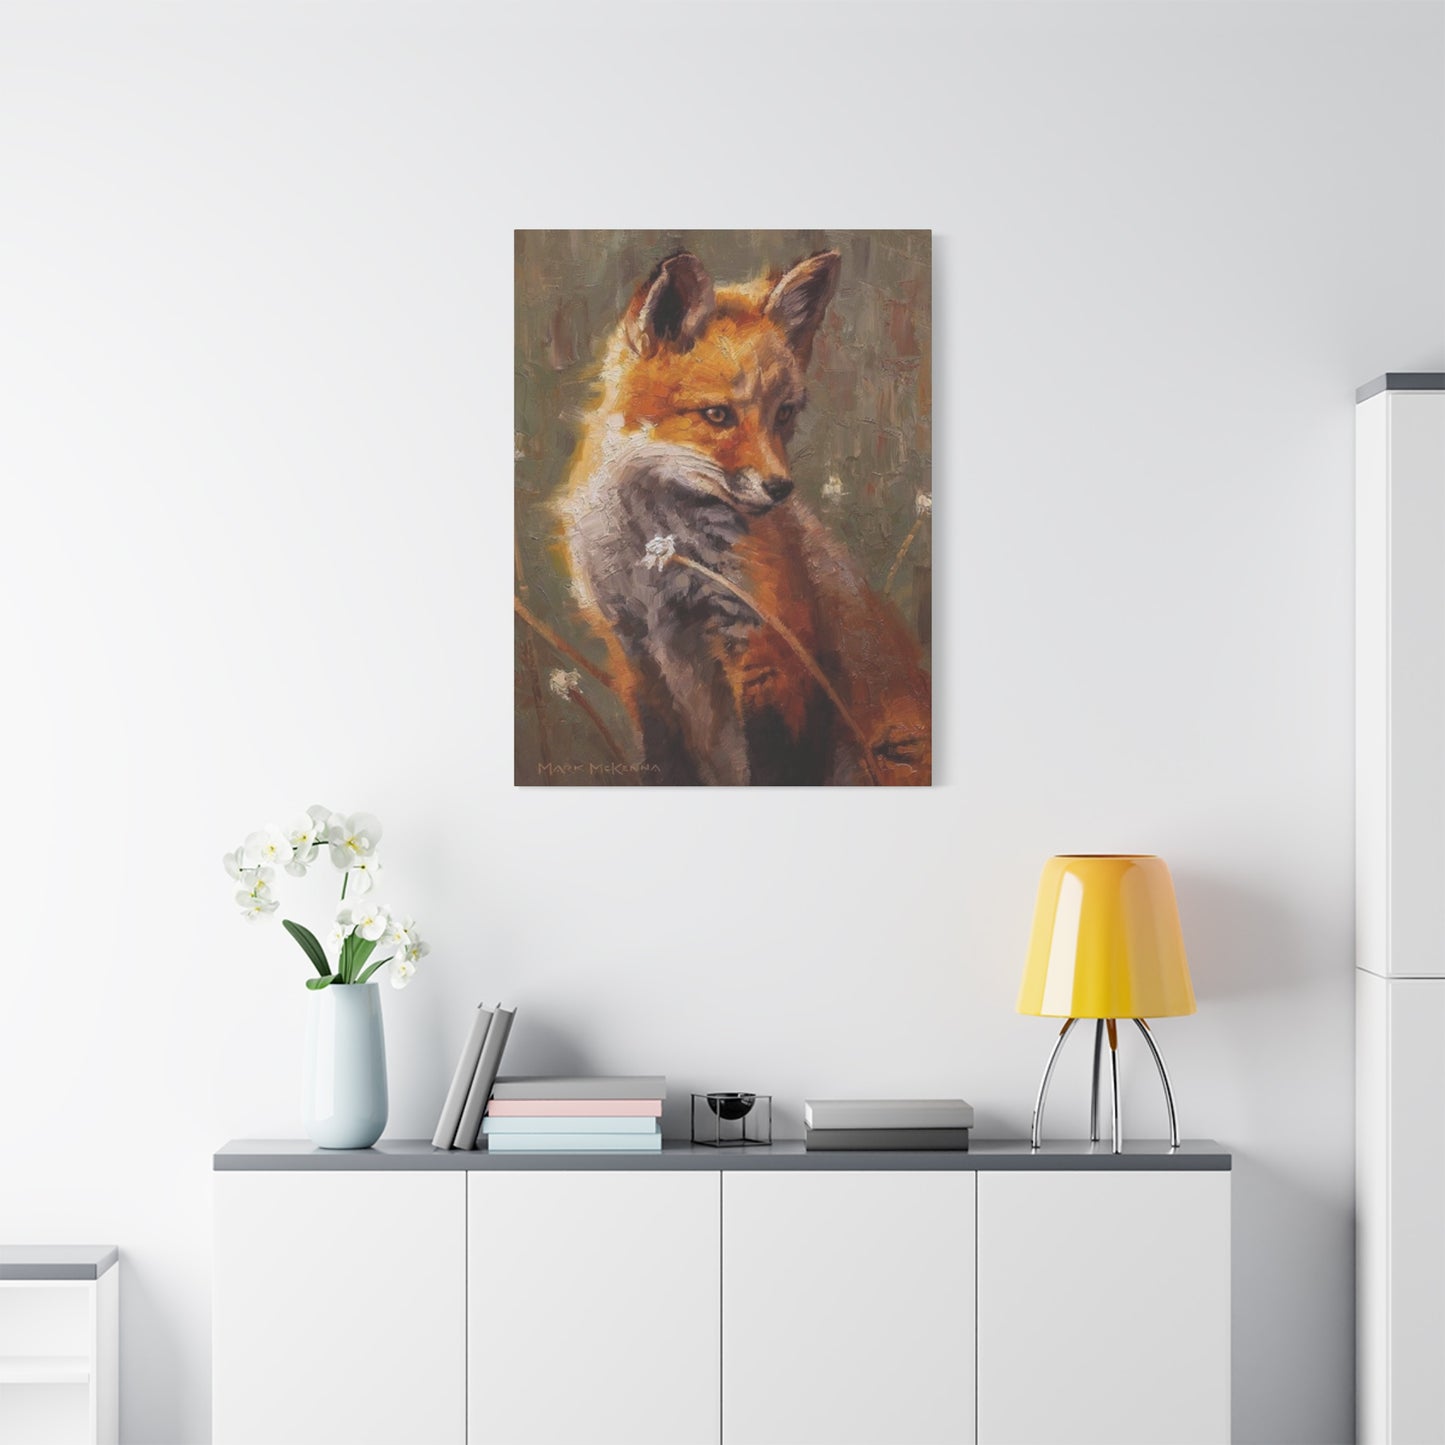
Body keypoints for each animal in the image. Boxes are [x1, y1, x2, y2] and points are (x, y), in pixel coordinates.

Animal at [557, 248, 931, 786]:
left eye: (784, 413)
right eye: (717, 415)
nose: (780, 488)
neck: (660, 557)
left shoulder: (770, 645)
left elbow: (777, 768)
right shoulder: (633, 650)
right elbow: (664, 762)